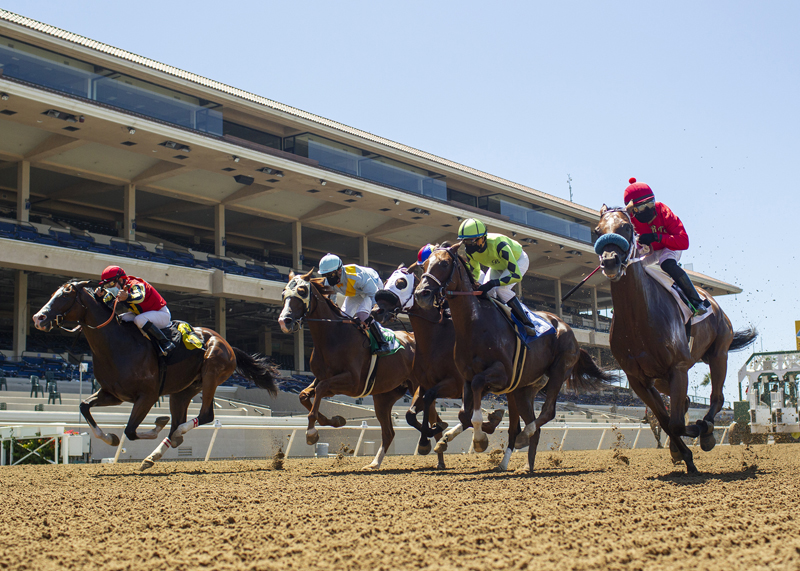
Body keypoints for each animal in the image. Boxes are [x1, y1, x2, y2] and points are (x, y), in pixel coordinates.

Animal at [32, 280, 278, 472]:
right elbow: (84, 407)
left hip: (211, 374)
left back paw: (175, 434)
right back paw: (154, 455)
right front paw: (110, 438)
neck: (116, 344)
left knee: (204, 416)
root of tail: (227, 343)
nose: (38, 318)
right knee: (179, 421)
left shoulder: (147, 396)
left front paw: (156, 423)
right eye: (53, 294)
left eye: (65, 295)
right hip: (183, 390)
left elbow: (130, 431)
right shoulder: (113, 394)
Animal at [276, 270, 416, 472]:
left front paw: (311, 432)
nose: (284, 321)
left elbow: (320, 391)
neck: (333, 335)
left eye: (302, 291)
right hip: (384, 397)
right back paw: (375, 463)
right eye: (283, 294)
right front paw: (335, 421)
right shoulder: (322, 378)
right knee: (389, 432)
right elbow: (304, 395)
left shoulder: (353, 382)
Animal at [372, 264, 504, 470]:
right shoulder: (422, 384)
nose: (377, 311)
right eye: (385, 281)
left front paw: (428, 439)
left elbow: (431, 399)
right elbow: (410, 414)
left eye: (401, 283)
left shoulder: (453, 384)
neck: (435, 337)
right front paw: (431, 436)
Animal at [416, 244, 608, 472]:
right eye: (424, 265)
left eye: (444, 263)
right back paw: (524, 464)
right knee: (529, 425)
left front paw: (480, 439)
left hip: (559, 370)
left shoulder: (502, 374)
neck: (475, 323)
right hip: (523, 390)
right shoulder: (466, 378)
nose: (421, 294)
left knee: (546, 413)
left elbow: (477, 397)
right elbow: (464, 414)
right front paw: (446, 438)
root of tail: (566, 326)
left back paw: (523, 438)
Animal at [592, 206, 756, 474]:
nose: (609, 261)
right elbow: (666, 420)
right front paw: (683, 454)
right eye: (597, 230)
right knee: (685, 403)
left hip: (718, 354)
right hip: (660, 379)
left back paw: (707, 431)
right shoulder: (638, 379)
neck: (639, 317)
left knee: (716, 398)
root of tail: (712, 299)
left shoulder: (677, 368)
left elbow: (677, 423)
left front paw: (699, 433)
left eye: (626, 227)